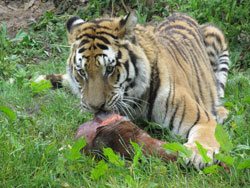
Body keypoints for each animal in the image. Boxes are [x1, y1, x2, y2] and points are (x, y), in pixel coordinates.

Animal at [36, 11, 229, 168]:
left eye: (109, 69)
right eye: (82, 72)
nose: (95, 107)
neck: (135, 101)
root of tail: (180, 13)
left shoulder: (202, 119)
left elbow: (203, 138)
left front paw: (198, 155)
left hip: (216, 38)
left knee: (219, 90)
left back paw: (220, 111)